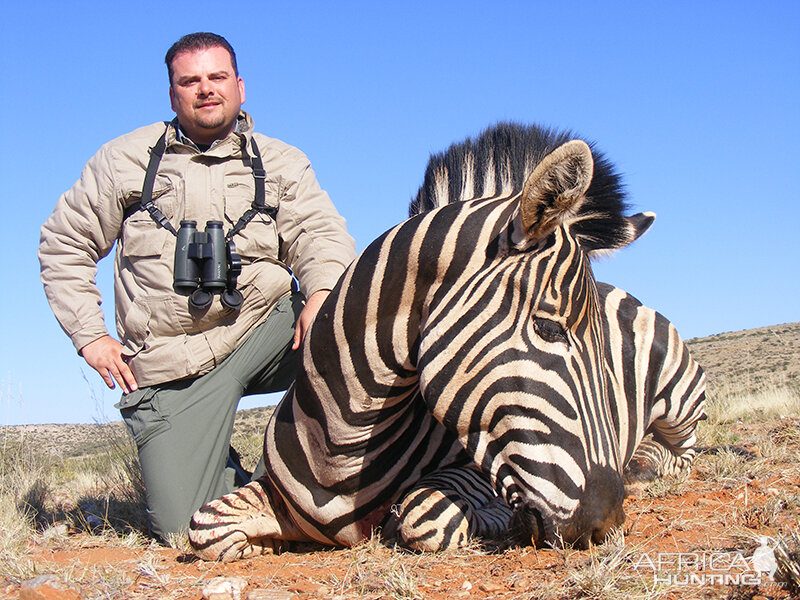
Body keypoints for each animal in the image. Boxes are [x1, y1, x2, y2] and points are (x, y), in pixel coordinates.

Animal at [186, 122, 700, 564]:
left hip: (679, 401)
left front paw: (488, 521)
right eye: (549, 329)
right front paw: (266, 542)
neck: (340, 443)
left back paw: (641, 468)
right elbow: (205, 526)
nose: (607, 523)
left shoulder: (480, 470)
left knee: (682, 452)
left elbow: (423, 516)